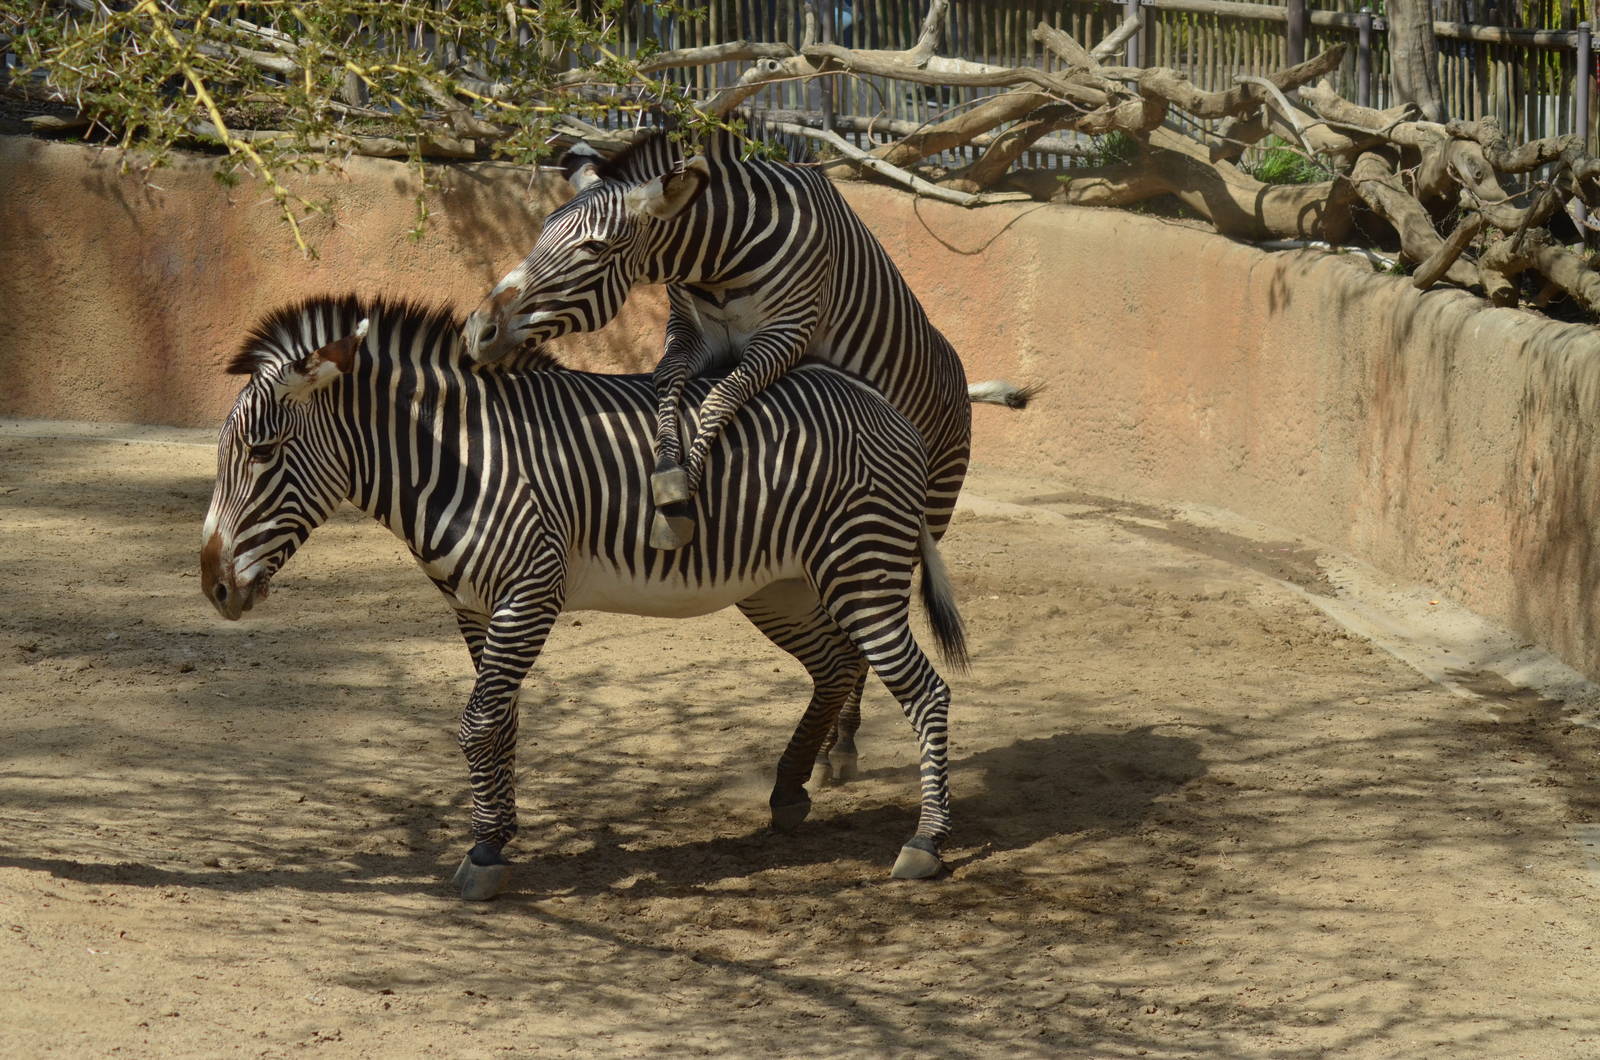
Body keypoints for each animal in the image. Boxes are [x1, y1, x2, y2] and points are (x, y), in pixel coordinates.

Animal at [200, 294, 965, 899]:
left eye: (262, 452)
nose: (213, 588)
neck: (460, 461)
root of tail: (877, 400)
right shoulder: (475, 607)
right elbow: (501, 721)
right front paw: (500, 832)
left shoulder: (531, 591)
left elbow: (477, 721)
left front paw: (482, 853)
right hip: (781, 586)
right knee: (836, 666)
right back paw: (787, 793)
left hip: (858, 568)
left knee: (926, 689)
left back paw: (926, 843)